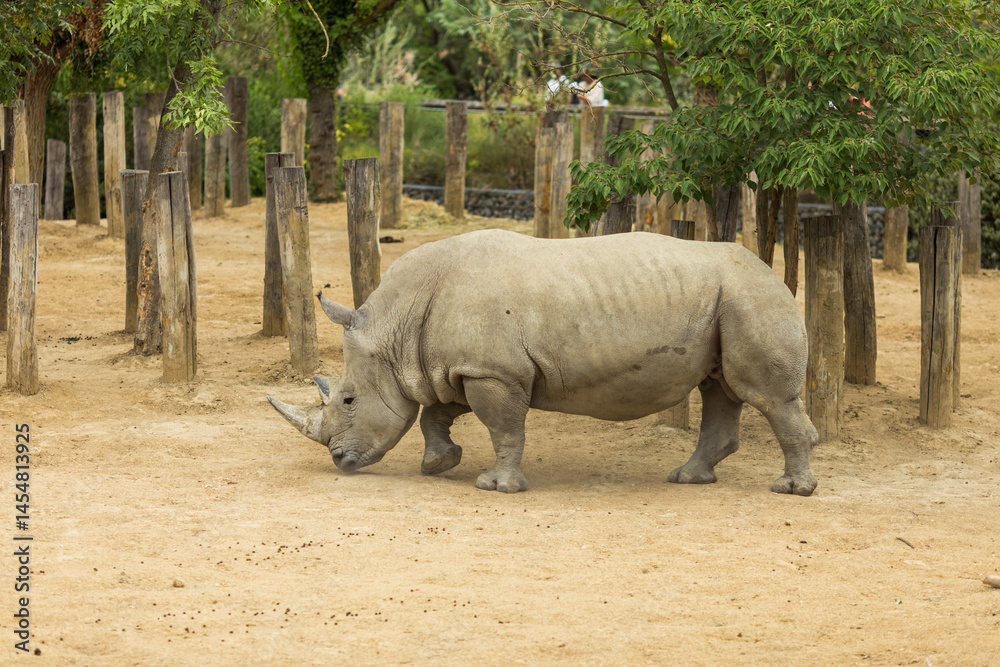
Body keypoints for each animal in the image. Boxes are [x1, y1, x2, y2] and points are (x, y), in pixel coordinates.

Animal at [268, 229, 819, 496]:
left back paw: (791, 490)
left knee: (763, 395)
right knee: (720, 388)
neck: (394, 331)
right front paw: (438, 464)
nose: (339, 461)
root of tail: (770, 267)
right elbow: (436, 413)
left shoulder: (494, 371)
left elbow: (504, 428)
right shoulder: (463, 366)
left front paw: (497, 487)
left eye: (348, 399)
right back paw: (688, 478)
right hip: (728, 299)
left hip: (750, 294)